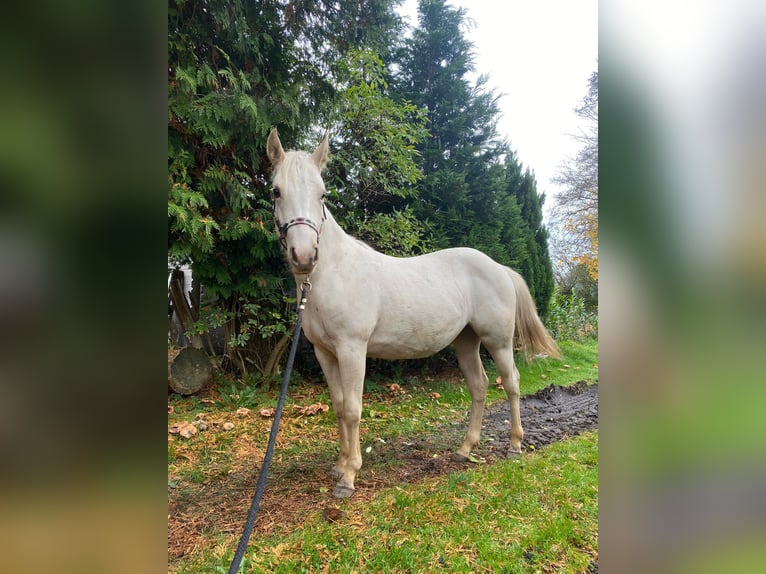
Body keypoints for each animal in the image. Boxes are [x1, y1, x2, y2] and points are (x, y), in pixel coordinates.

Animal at [268, 130, 560, 500]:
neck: (334, 273)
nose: (304, 256)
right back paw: (466, 449)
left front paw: (349, 476)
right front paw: (339, 464)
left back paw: (514, 446)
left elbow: (352, 409)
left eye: (322, 193)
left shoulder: (352, 349)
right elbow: (337, 405)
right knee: (479, 386)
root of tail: (499, 268)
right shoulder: (325, 353)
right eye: (276, 191)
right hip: (466, 341)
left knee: (511, 384)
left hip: (499, 341)